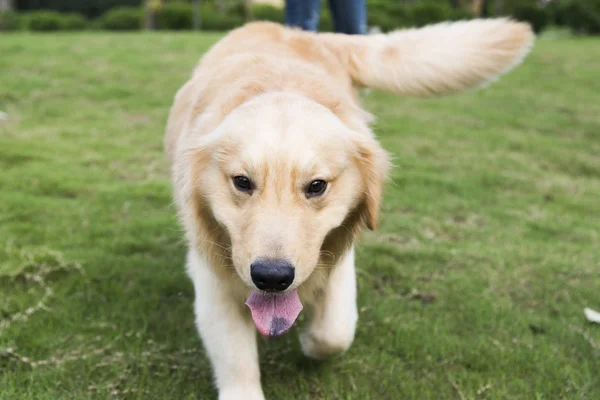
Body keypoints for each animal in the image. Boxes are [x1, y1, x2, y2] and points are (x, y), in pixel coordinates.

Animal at [165, 20, 536, 398]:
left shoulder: (337, 254)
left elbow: (335, 334)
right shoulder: (213, 275)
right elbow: (236, 359)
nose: (272, 277)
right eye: (242, 182)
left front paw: (311, 339)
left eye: (317, 186)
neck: (280, 84)